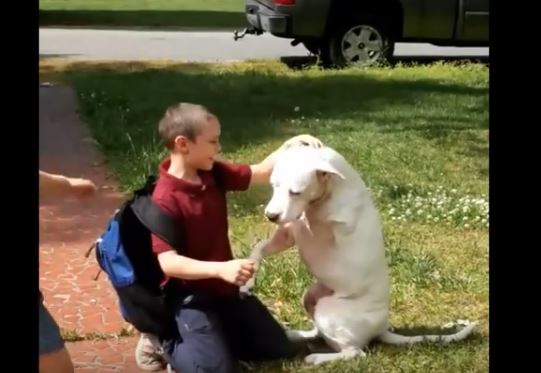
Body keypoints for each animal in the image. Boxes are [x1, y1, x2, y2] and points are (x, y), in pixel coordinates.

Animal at [238, 144, 474, 364]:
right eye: (273, 186)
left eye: (295, 192)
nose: (270, 215)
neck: (334, 187)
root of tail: (381, 329)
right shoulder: (289, 235)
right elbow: (260, 247)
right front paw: (247, 280)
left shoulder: (312, 232)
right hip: (310, 296)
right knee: (321, 334)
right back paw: (297, 335)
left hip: (329, 312)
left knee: (354, 352)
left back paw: (317, 358)